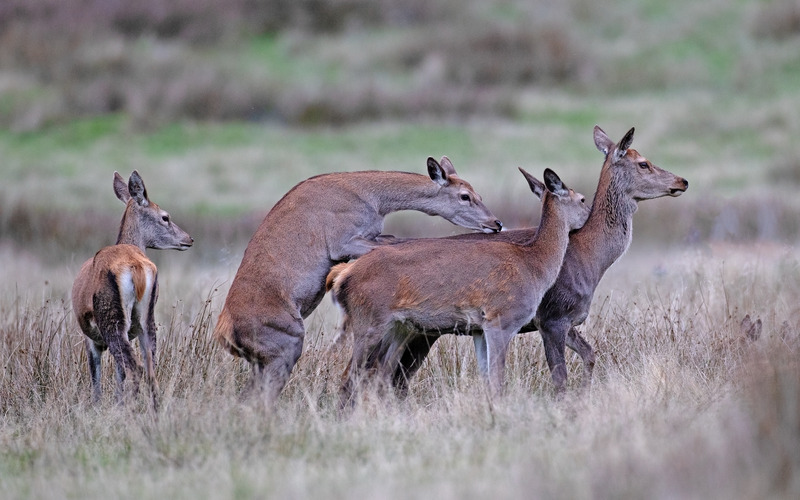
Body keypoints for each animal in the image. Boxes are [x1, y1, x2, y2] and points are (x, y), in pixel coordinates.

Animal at [71, 171, 193, 410]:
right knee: (150, 369)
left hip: (112, 321)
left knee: (134, 368)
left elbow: (96, 379)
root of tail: (135, 266)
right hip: (147, 319)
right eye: (165, 217)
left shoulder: (91, 339)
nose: (188, 239)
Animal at [213, 157, 502, 405]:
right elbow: (394, 242)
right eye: (465, 196)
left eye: (476, 194)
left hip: (264, 358)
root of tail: (225, 333)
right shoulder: (342, 241)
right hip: (285, 341)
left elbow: (391, 239)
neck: (375, 201)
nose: (496, 222)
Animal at [327, 167, 590, 402]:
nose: (591, 214)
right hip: (369, 320)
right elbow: (497, 380)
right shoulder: (501, 318)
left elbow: (487, 379)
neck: (535, 265)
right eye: (582, 199)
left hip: (397, 327)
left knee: (378, 376)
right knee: (349, 377)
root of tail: (343, 275)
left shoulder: (480, 328)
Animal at [363, 126, 689, 396]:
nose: (682, 181)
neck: (590, 259)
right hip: (416, 329)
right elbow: (560, 376)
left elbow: (590, 355)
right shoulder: (553, 316)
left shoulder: (568, 319)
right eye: (643, 162)